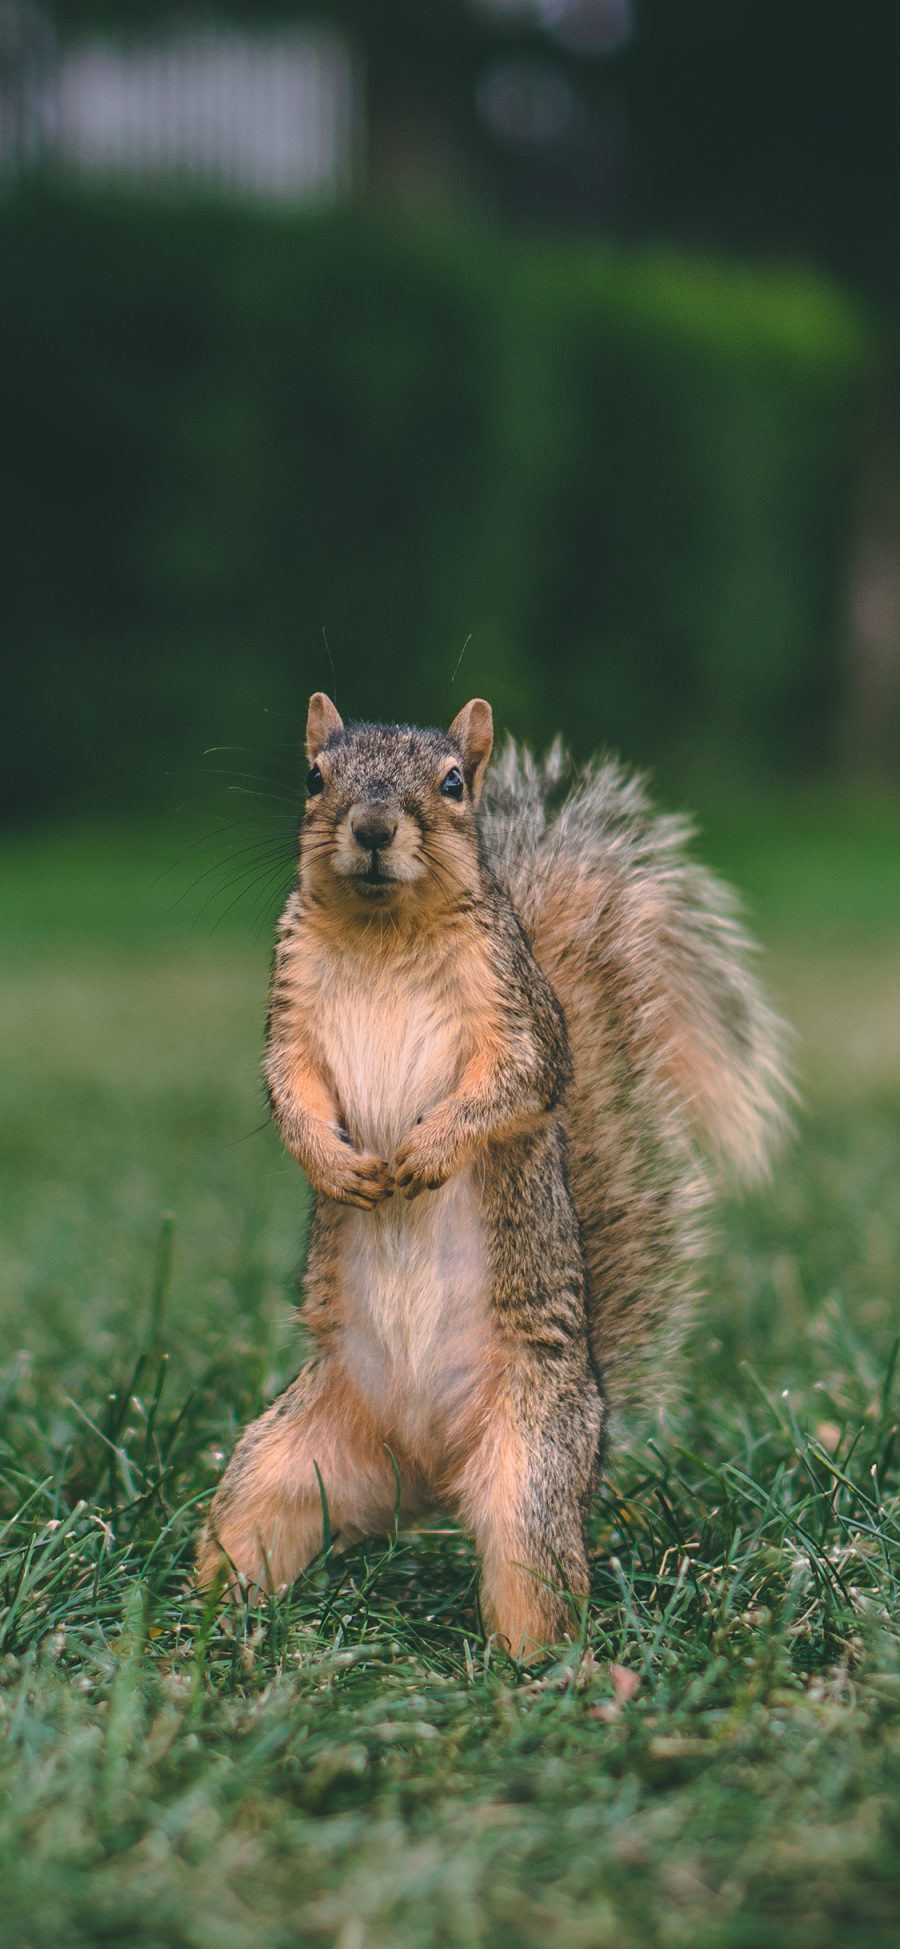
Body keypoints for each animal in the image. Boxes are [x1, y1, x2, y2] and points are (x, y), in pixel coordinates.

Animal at [200, 693, 790, 1652]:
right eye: (315, 775)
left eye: (452, 782)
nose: (372, 828)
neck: (382, 928)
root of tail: (427, 1471)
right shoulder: (289, 1009)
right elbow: (289, 1088)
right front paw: (332, 1161)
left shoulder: (517, 1009)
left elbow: (519, 1082)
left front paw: (428, 1151)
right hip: (283, 1463)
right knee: (248, 1524)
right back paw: (198, 1625)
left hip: (531, 1465)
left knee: (533, 1573)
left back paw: (542, 1667)